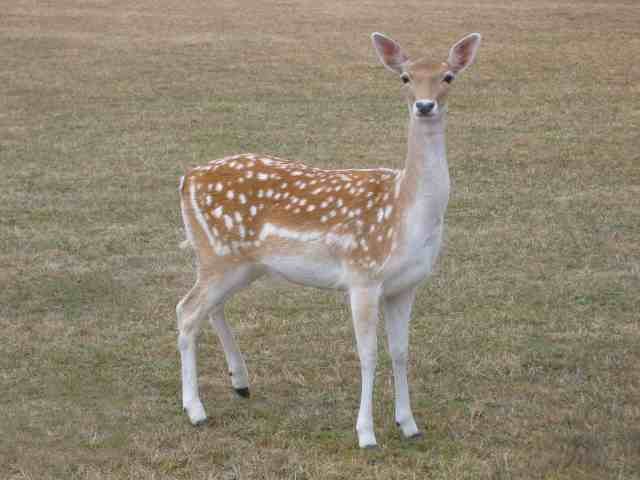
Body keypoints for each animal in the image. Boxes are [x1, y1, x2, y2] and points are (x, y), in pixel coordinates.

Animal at [175, 31, 480, 448]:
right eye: (405, 77)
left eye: (448, 76)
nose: (424, 105)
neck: (405, 213)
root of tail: (186, 178)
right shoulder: (363, 275)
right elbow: (368, 354)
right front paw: (366, 434)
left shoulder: (406, 285)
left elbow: (400, 351)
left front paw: (409, 424)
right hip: (217, 254)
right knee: (186, 311)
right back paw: (196, 411)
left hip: (238, 263)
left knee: (211, 307)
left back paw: (240, 382)